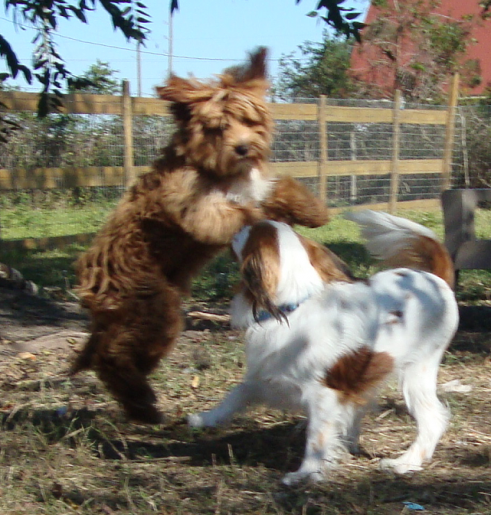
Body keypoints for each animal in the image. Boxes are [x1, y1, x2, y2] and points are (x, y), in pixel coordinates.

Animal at [70, 48, 330, 426]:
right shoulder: (194, 205)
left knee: (117, 352)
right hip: (153, 307)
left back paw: (139, 401)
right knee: (113, 356)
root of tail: (92, 280)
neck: (216, 170)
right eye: (218, 127)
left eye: (249, 122)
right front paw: (256, 219)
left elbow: (278, 190)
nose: (243, 147)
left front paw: (313, 210)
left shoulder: (255, 185)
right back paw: (143, 403)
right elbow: (238, 211)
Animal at [189, 212, 462, 486]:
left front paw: (306, 473)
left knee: (433, 420)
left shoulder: (323, 394)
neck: (293, 307)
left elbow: (317, 437)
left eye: (248, 232)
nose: (236, 228)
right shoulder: (268, 377)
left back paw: (405, 463)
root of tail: (435, 279)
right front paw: (205, 418)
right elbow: (237, 393)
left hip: (416, 372)